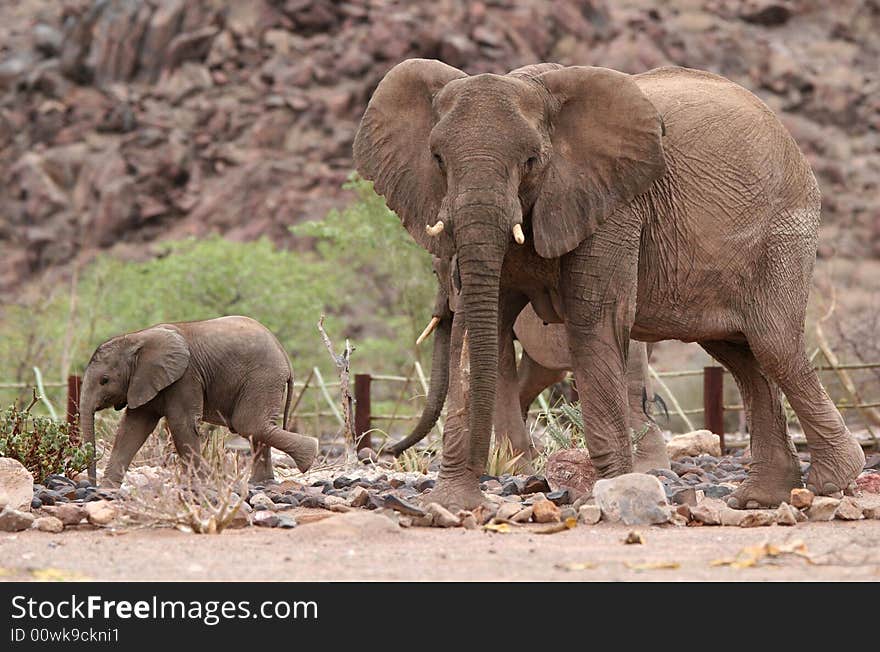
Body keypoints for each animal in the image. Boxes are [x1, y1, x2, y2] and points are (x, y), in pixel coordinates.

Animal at [79, 316, 318, 488]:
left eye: (104, 380)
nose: (92, 486)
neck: (137, 338)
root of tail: (284, 355)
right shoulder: (144, 381)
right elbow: (132, 428)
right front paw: (107, 490)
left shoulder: (185, 377)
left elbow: (181, 424)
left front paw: (203, 484)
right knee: (257, 427)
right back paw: (262, 482)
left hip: (262, 377)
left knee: (249, 424)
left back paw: (309, 456)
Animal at [354, 59, 864, 510]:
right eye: (437, 159)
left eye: (531, 160)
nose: (379, 451)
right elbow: (474, 331)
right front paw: (450, 505)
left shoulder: (613, 203)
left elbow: (593, 320)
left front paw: (613, 492)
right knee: (741, 355)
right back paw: (761, 498)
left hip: (783, 233)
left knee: (772, 343)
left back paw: (832, 481)